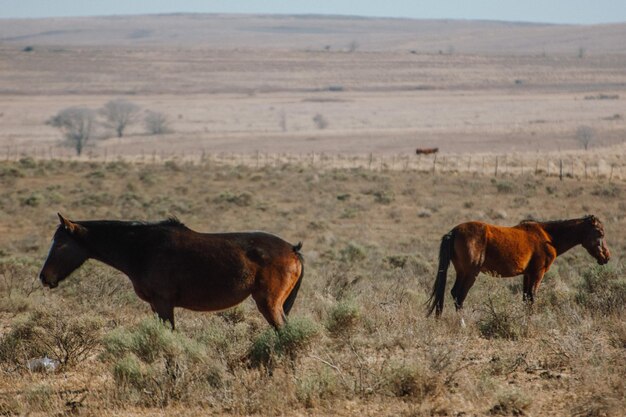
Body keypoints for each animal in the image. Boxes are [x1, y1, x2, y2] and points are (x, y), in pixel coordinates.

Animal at [38, 214, 302, 328]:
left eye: (59, 243)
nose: (44, 277)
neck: (142, 247)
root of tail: (293, 249)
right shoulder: (156, 306)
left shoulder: (164, 304)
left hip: (269, 304)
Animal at [426, 214, 608, 316]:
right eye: (599, 233)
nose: (606, 256)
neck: (548, 236)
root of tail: (453, 232)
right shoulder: (537, 273)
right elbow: (532, 297)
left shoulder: (527, 275)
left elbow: (526, 298)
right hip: (470, 273)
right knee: (459, 295)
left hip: (462, 272)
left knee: (454, 294)